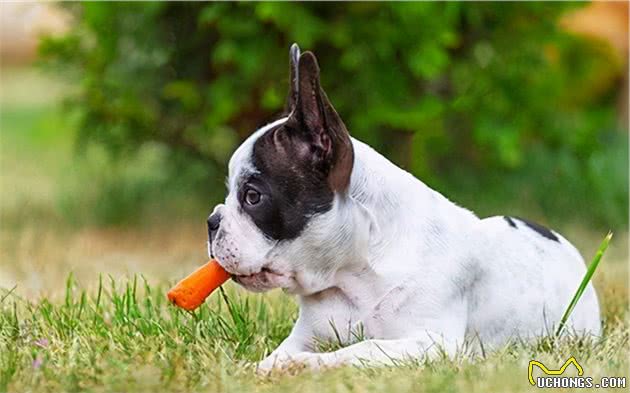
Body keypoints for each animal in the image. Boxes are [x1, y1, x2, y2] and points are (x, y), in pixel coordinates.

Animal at [207, 44, 604, 370]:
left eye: (253, 196)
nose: (211, 221)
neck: (353, 274)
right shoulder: (305, 335)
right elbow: (278, 355)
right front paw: (267, 367)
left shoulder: (430, 343)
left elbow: (359, 350)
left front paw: (307, 365)